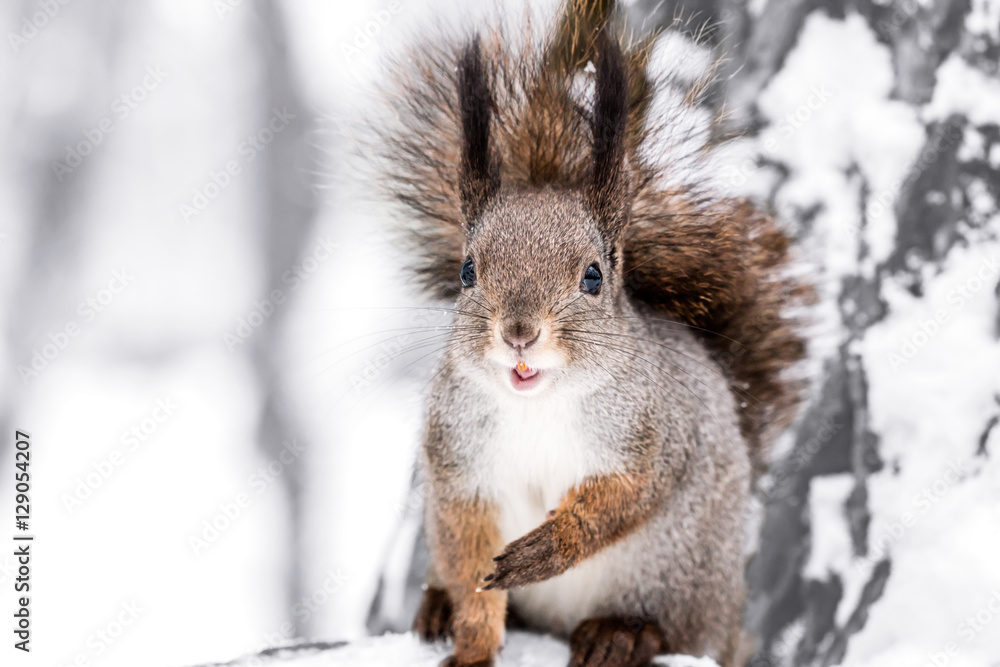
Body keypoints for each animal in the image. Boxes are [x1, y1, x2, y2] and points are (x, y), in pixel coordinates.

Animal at [364, 1, 810, 665]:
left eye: (593, 276)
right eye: (468, 271)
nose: (519, 333)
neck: (537, 405)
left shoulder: (653, 435)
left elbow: (625, 499)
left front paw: (545, 550)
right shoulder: (457, 464)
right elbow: (470, 560)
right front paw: (472, 641)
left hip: (680, 570)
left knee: (675, 627)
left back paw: (622, 633)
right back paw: (437, 603)